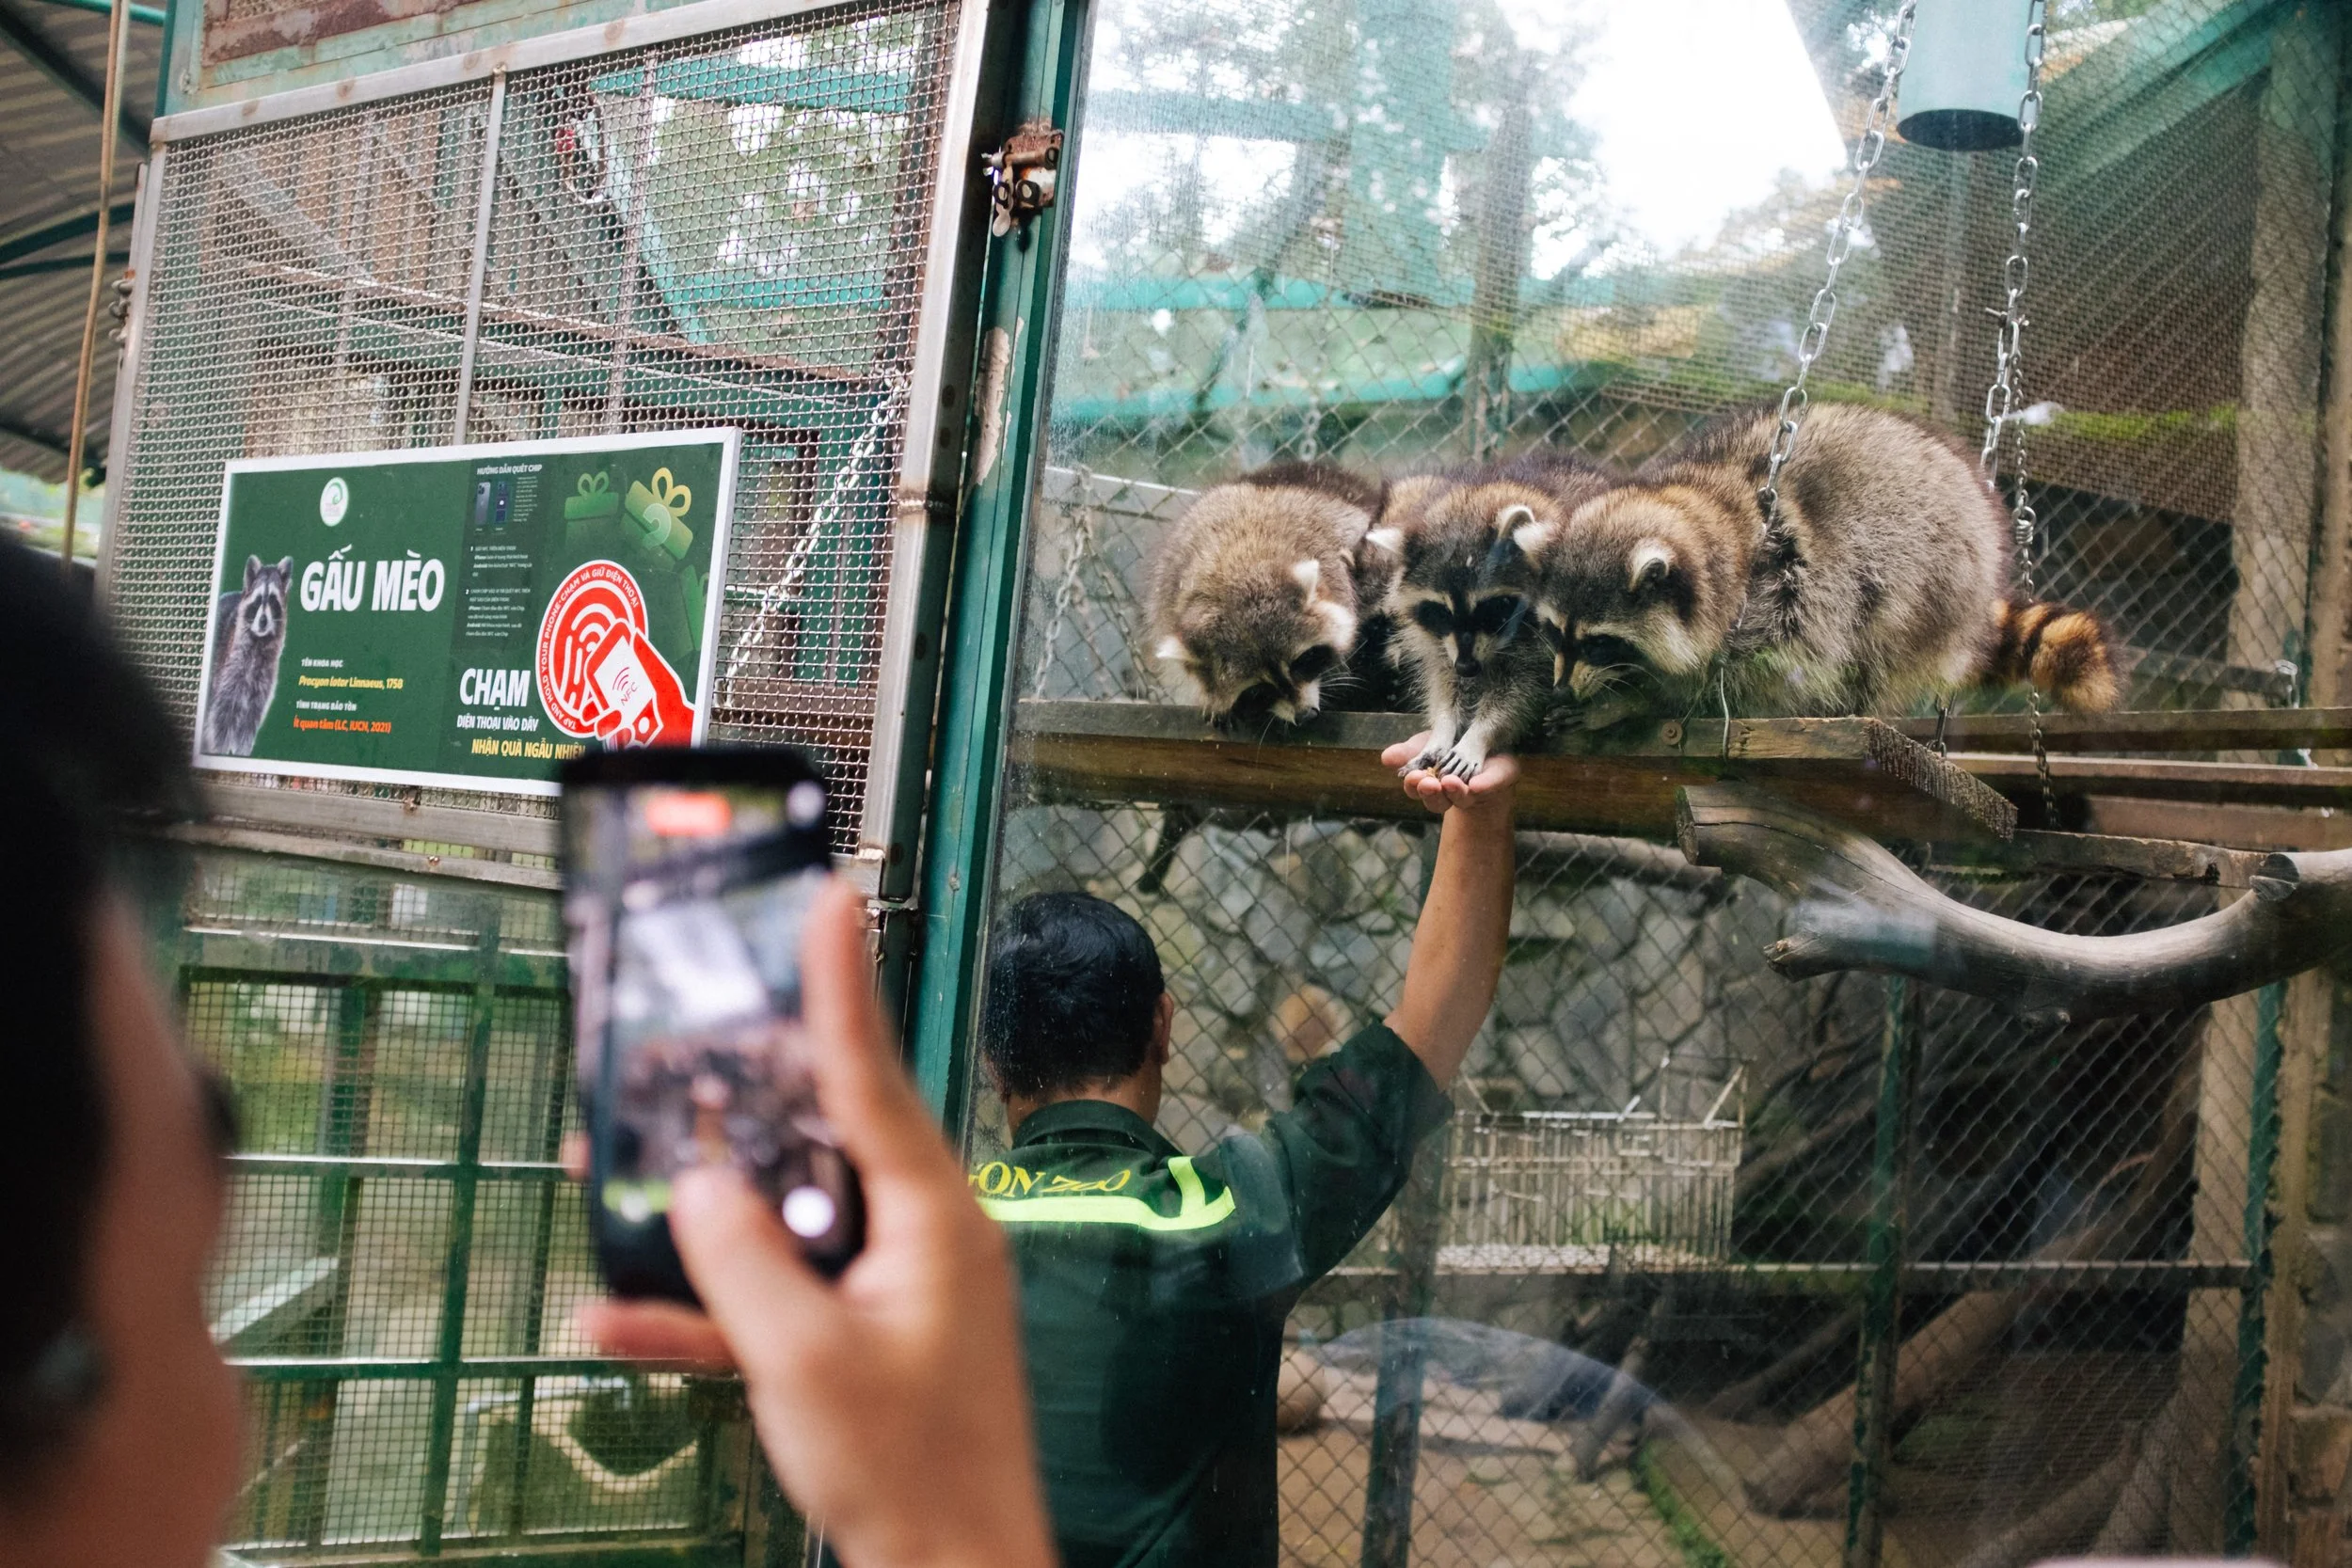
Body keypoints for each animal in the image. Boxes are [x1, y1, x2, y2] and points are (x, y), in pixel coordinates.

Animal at [201, 554, 294, 757]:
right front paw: (220, 751)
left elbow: (248, 727)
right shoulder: (229, 672)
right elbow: (220, 722)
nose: (263, 621)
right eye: (258, 600)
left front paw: (241, 751)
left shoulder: (262, 682)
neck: (259, 640)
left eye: (273, 600)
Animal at [1368, 450, 1619, 778]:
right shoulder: (1439, 641)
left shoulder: (1544, 645)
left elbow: (1523, 693)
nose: (1467, 667)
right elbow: (1442, 676)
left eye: (1489, 608)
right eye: (1440, 613)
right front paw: (1442, 729)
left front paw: (1479, 736)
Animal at [1510, 404, 2118, 722]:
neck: (1707, 502)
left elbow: (1747, 683)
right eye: (1553, 632)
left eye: (1600, 642)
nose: (1561, 690)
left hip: (1938, 585)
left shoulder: (1786, 599)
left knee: (1882, 641)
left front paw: (1638, 701)